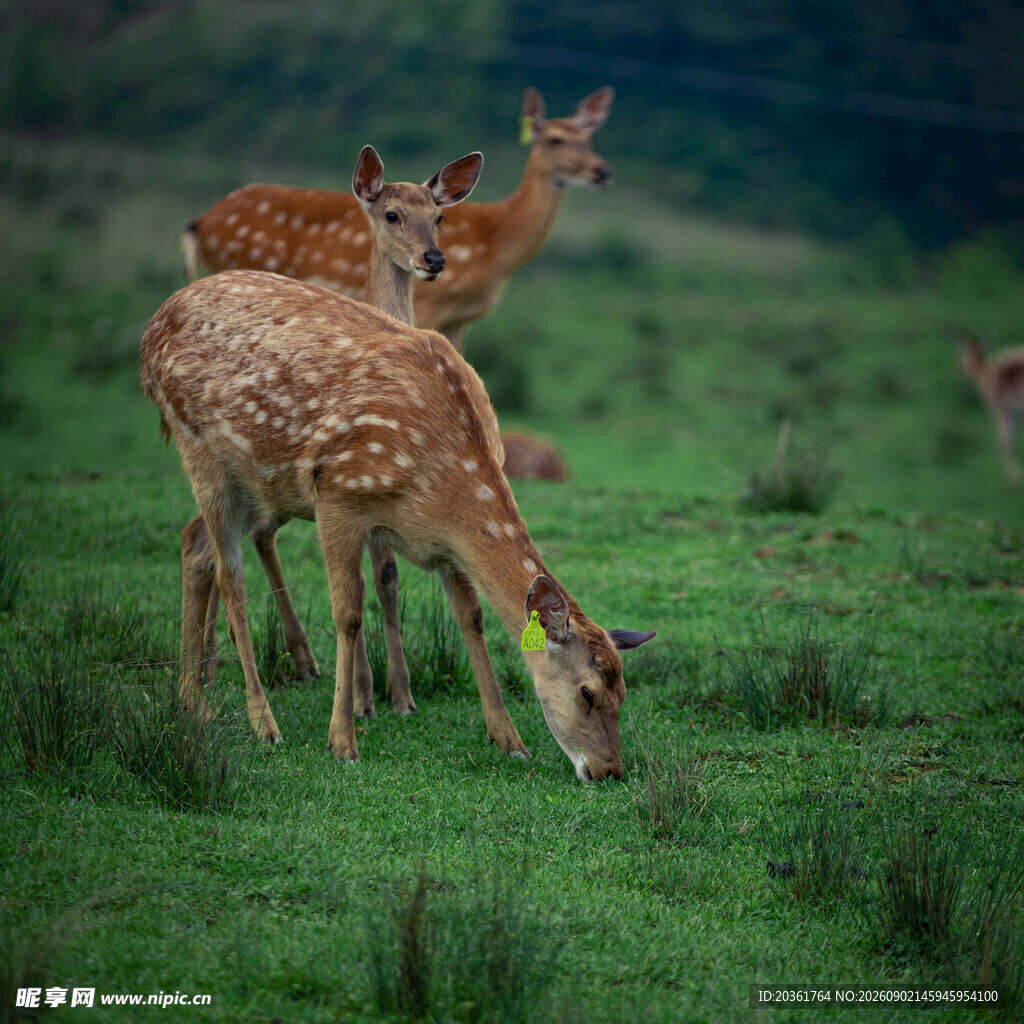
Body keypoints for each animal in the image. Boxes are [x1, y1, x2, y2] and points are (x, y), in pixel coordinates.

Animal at [140, 270, 656, 781]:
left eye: (623, 692)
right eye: (587, 691)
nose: (610, 770)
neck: (440, 490)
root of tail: (150, 333)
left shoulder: (446, 547)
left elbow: (470, 615)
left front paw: (509, 739)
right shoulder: (337, 493)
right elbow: (348, 614)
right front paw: (343, 742)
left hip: (256, 480)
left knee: (195, 544)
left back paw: (193, 703)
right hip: (199, 448)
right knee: (231, 577)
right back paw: (262, 722)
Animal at [182, 145, 484, 721]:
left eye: (439, 216)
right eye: (392, 214)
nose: (433, 259)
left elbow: (387, 579)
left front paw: (399, 694)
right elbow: (361, 584)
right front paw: (365, 697)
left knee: (231, 538)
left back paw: (255, 666)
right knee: (208, 539)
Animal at [962, 336, 1024, 485]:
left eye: (963, 355)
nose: (960, 367)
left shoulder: (1001, 407)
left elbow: (1004, 441)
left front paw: (1015, 480)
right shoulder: (1012, 411)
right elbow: (1010, 441)